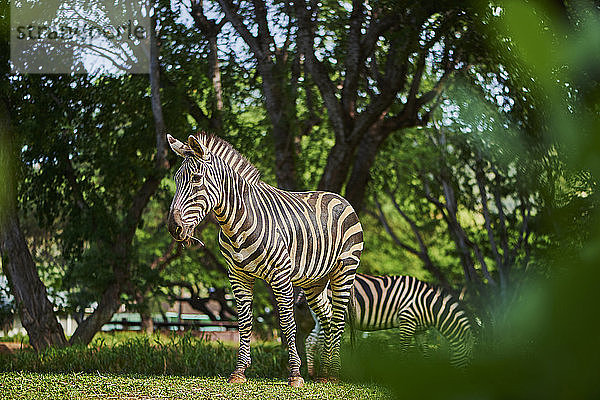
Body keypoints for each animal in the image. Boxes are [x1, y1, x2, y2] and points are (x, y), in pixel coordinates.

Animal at [165, 134, 360, 388]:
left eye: (197, 178)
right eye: (176, 180)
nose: (173, 227)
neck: (236, 223)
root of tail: (338, 196)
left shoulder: (281, 275)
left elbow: (287, 323)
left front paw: (295, 374)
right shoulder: (237, 275)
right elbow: (245, 322)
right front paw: (239, 371)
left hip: (344, 270)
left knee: (337, 318)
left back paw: (334, 371)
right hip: (314, 282)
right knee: (327, 317)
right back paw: (325, 372)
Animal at [308, 272, 476, 376]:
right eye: (468, 359)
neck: (429, 305)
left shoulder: (420, 330)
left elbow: (425, 352)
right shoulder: (407, 320)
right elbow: (404, 349)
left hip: (318, 314)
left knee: (311, 340)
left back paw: (311, 373)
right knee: (324, 339)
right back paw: (324, 371)